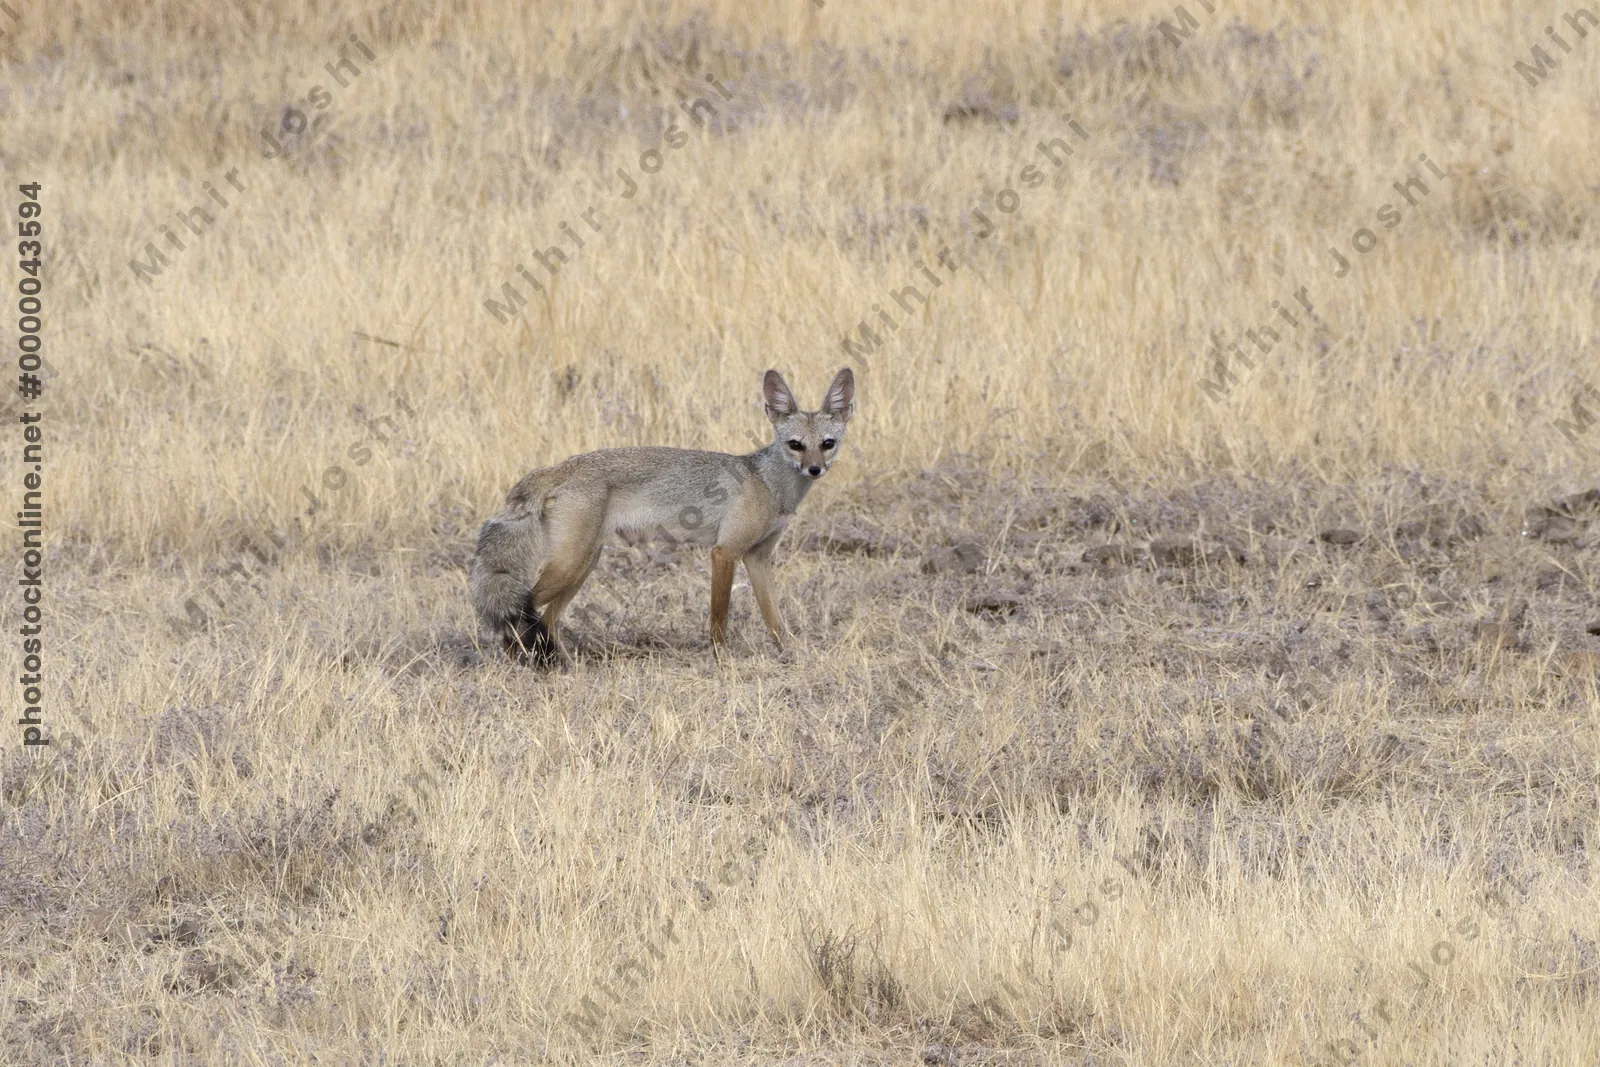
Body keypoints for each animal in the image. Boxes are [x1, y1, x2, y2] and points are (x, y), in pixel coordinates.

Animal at [470, 367, 856, 665]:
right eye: (795, 445)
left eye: (827, 444)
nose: (815, 470)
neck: (767, 483)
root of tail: (558, 467)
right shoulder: (725, 552)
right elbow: (719, 620)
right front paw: (722, 662)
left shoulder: (758, 558)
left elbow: (774, 619)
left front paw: (790, 655)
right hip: (569, 567)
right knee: (520, 617)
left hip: (581, 566)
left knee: (546, 621)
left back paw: (562, 668)